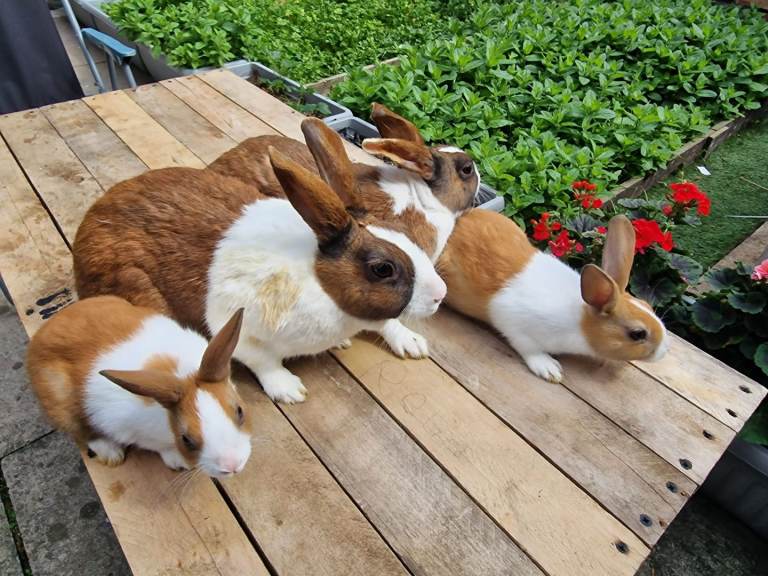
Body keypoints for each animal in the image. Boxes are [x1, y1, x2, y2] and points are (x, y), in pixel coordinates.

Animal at [26, 296, 251, 477]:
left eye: (240, 411)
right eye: (186, 439)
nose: (232, 466)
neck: (183, 376)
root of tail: (38, 339)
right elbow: (157, 446)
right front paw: (178, 461)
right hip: (60, 401)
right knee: (81, 432)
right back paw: (111, 453)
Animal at [73, 147, 447, 404]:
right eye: (383, 269)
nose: (440, 295)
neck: (320, 282)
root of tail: (92, 218)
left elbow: (386, 322)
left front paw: (412, 343)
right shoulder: (240, 329)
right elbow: (265, 362)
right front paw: (290, 390)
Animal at [438, 210, 669, 383]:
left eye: (648, 305)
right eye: (637, 334)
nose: (665, 350)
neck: (580, 322)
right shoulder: (513, 322)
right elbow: (528, 347)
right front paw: (550, 369)